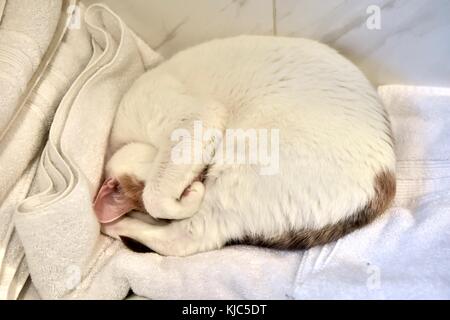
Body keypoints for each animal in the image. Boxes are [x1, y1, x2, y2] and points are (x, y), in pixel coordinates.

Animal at [93, 35, 396, 256]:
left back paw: (114, 227)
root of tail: (386, 182)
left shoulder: (195, 116)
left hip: (242, 166)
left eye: (199, 173)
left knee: (186, 238)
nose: (200, 180)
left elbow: (155, 199)